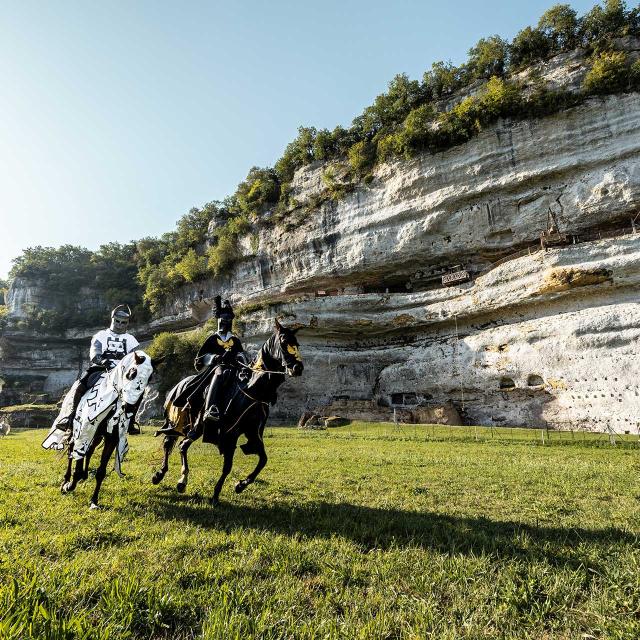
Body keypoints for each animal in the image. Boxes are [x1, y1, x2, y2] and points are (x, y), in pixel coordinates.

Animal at [42, 352, 161, 508]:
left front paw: (94, 500)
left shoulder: (112, 439)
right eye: (132, 373)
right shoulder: (83, 433)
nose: (129, 407)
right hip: (76, 432)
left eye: (150, 378)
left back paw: (85, 475)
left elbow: (101, 471)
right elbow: (77, 464)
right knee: (71, 452)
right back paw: (66, 480)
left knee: (89, 451)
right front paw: (69, 486)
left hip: (97, 437)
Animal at [151, 320, 304, 504]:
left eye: (297, 344)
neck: (251, 389)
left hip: (192, 427)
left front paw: (240, 485)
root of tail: (177, 386)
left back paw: (172, 478)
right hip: (184, 424)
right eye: (283, 341)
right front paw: (217, 494)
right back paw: (172, 478)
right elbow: (228, 466)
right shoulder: (230, 434)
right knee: (174, 445)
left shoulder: (252, 433)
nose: (298, 368)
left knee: (179, 445)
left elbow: (262, 459)